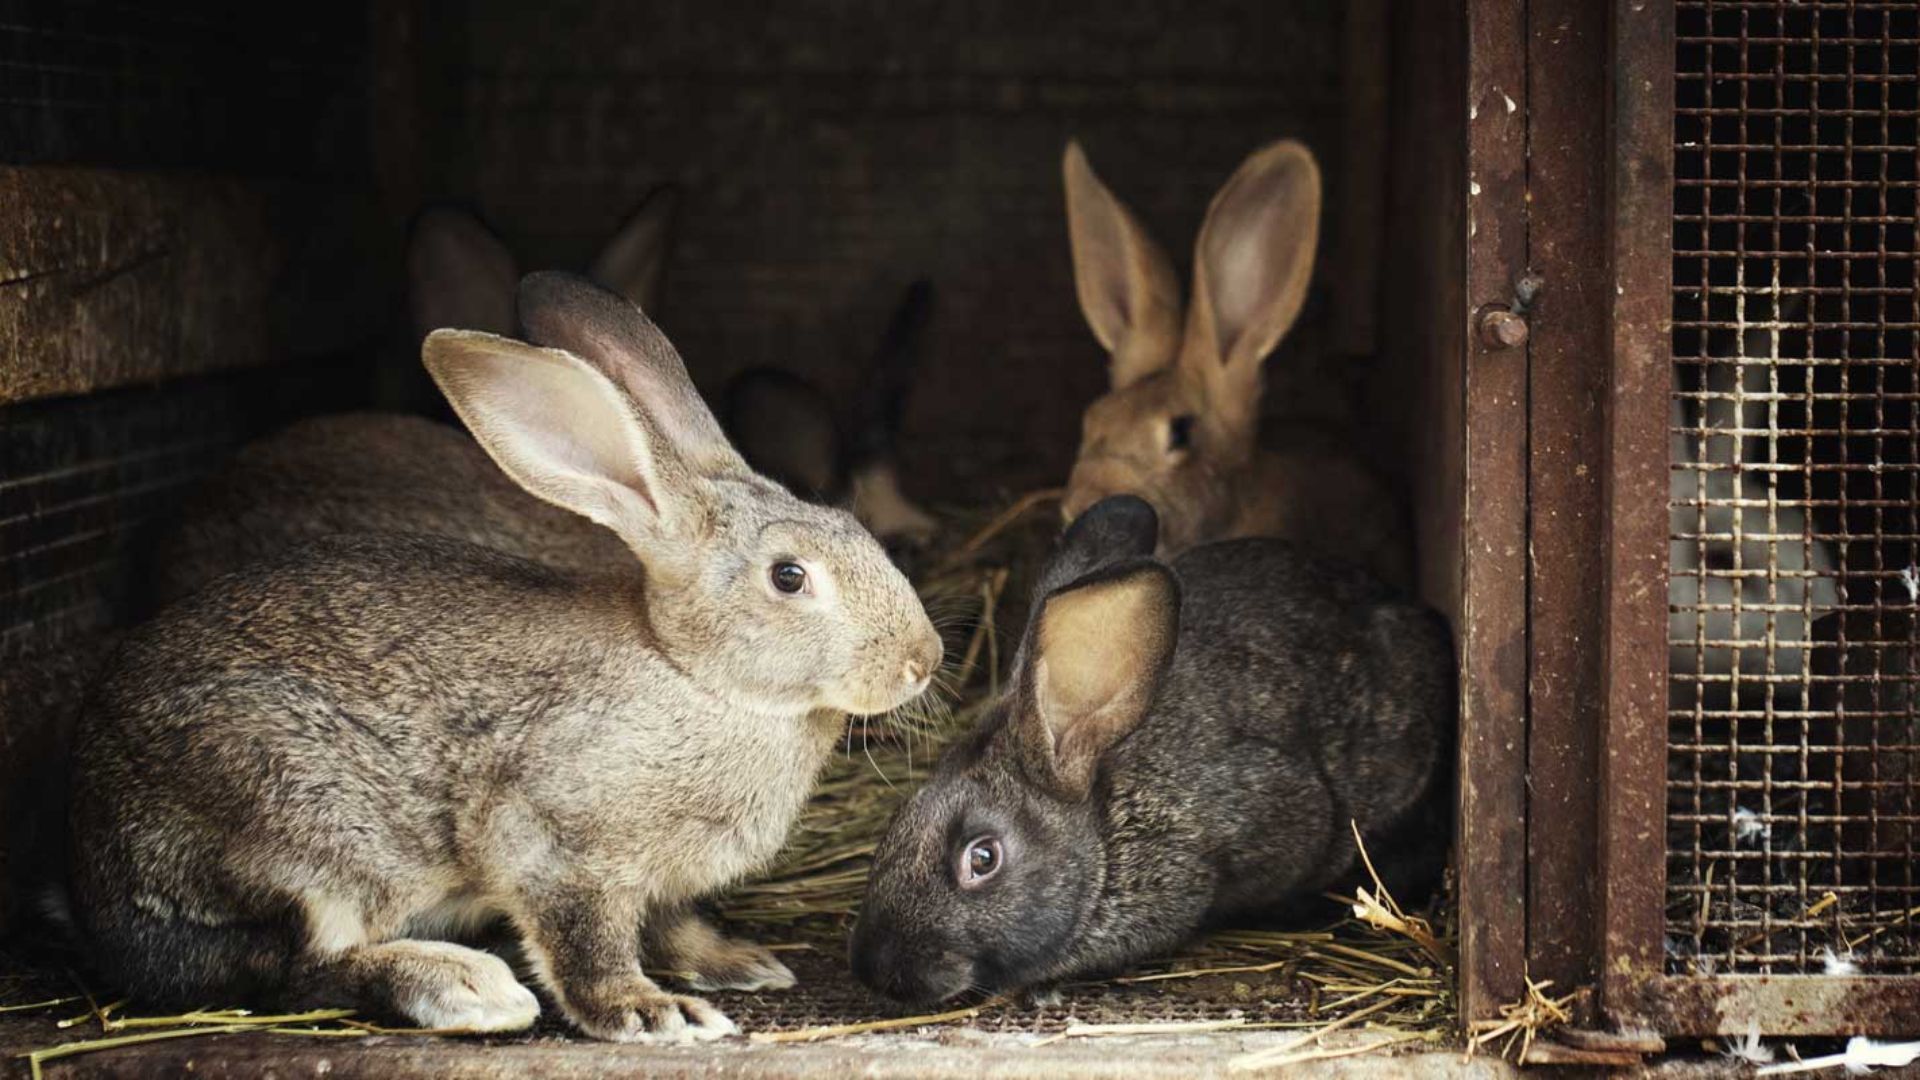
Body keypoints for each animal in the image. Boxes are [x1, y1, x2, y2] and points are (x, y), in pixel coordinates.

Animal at [69, 272, 944, 1037]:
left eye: (855, 527)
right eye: (789, 577)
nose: (923, 658)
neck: (693, 673)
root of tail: (88, 845)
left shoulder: (659, 883)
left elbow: (672, 925)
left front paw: (740, 963)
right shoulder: (555, 842)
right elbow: (585, 942)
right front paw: (650, 1013)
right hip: (297, 820)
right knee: (296, 965)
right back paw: (464, 987)